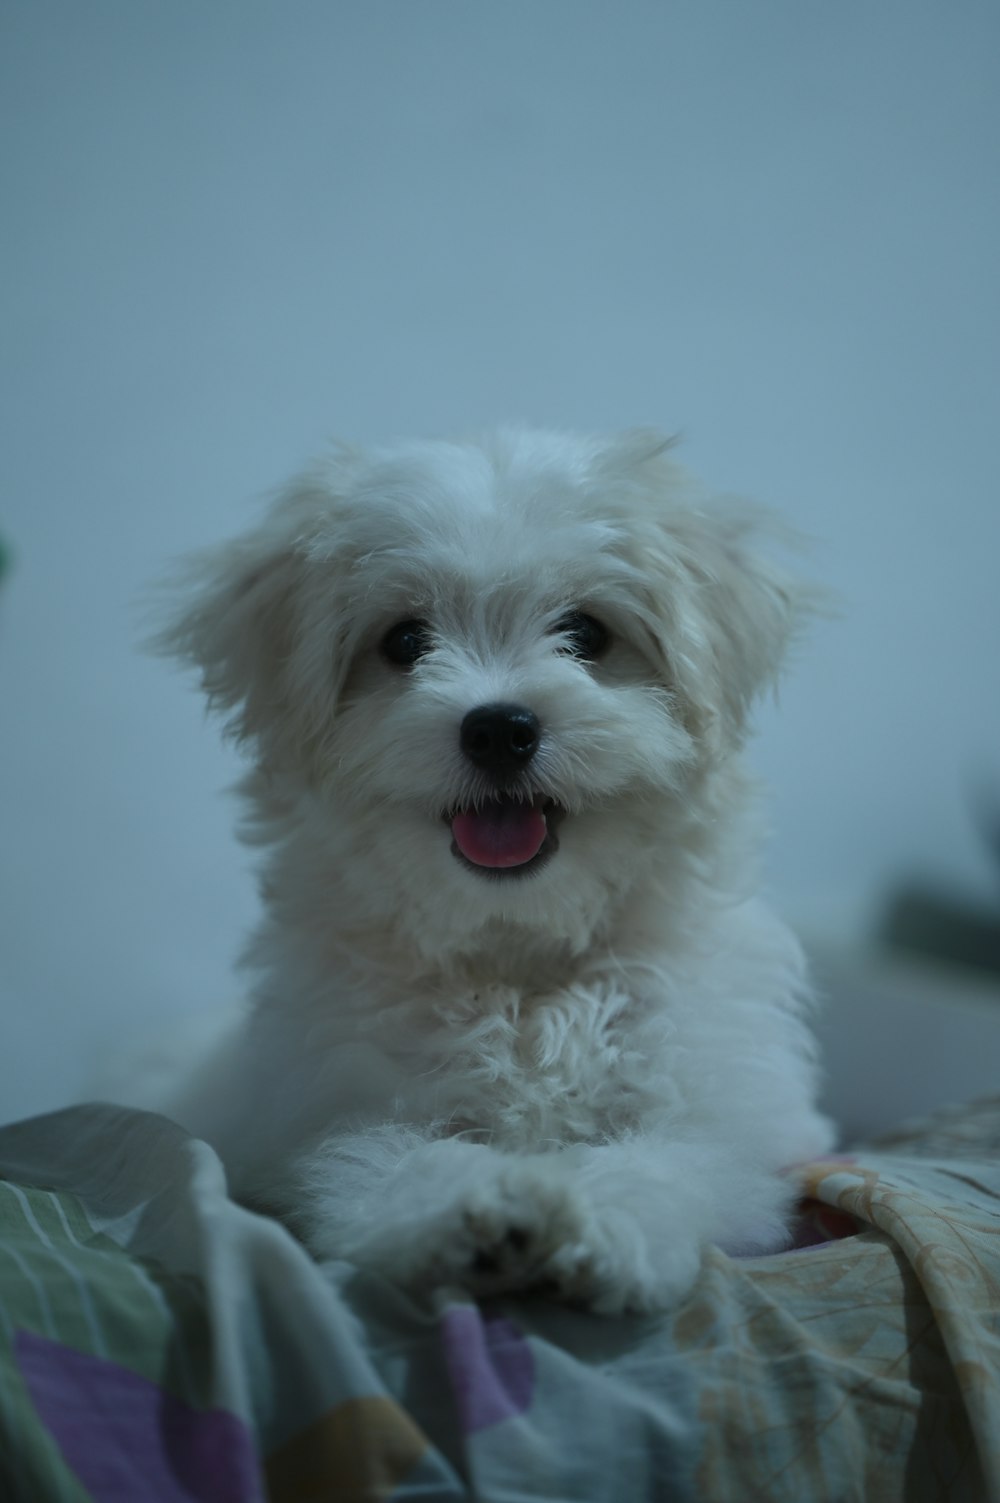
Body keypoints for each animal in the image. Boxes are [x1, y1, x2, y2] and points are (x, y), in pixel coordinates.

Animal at [151, 429, 830, 1310]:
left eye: (586, 633)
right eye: (405, 641)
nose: (500, 728)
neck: (520, 964)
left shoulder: (727, 1121)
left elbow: (669, 1162)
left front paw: (606, 1224)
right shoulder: (330, 1118)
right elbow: (392, 1162)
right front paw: (474, 1214)